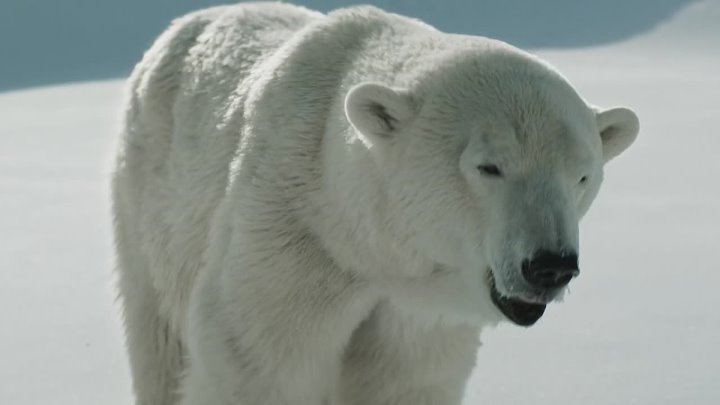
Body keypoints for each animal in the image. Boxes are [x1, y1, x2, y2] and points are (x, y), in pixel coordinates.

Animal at [111, 3, 639, 405]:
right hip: (149, 200)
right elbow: (260, 363)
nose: (550, 266)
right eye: (490, 167)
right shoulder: (292, 243)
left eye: (582, 175)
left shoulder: (414, 314)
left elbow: (402, 382)